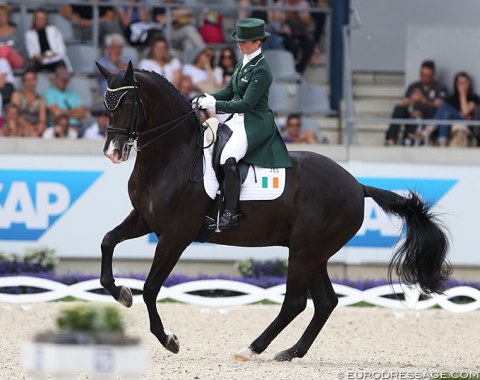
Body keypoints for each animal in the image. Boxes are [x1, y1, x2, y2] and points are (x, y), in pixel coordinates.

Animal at [96, 62, 450, 362]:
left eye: (127, 103)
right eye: (106, 104)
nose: (113, 152)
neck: (173, 156)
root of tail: (357, 185)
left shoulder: (175, 235)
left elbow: (151, 288)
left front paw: (168, 339)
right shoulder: (144, 219)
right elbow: (107, 242)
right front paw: (121, 293)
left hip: (305, 250)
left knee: (295, 302)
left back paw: (252, 349)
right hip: (314, 252)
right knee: (325, 301)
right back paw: (291, 352)